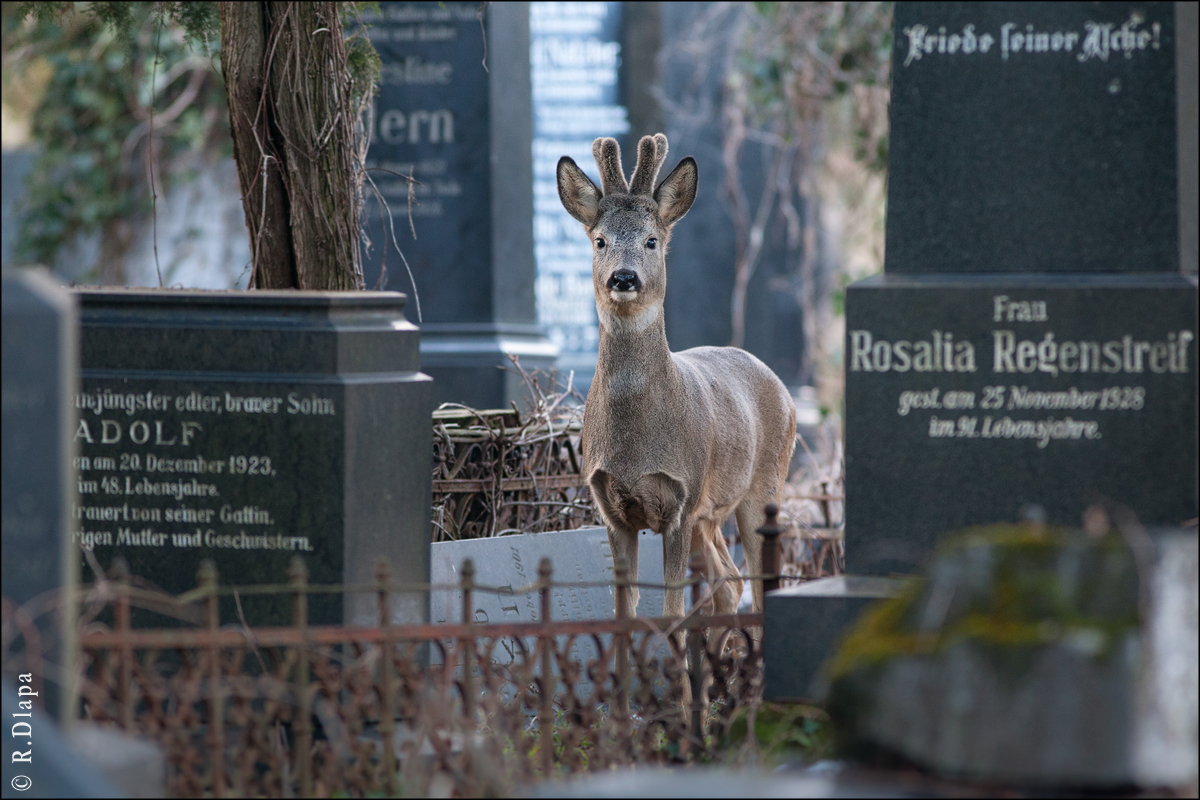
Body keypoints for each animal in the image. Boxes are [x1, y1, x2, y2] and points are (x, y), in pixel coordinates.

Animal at [559, 136, 796, 623]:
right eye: (600, 240)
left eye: (651, 240)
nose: (623, 277)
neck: (634, 446)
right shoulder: (610, 509)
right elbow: (624, 616)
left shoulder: (681, 501)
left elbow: (671, 614)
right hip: (712, 513)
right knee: (730, 582)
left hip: (764, 485)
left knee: (760, 587)